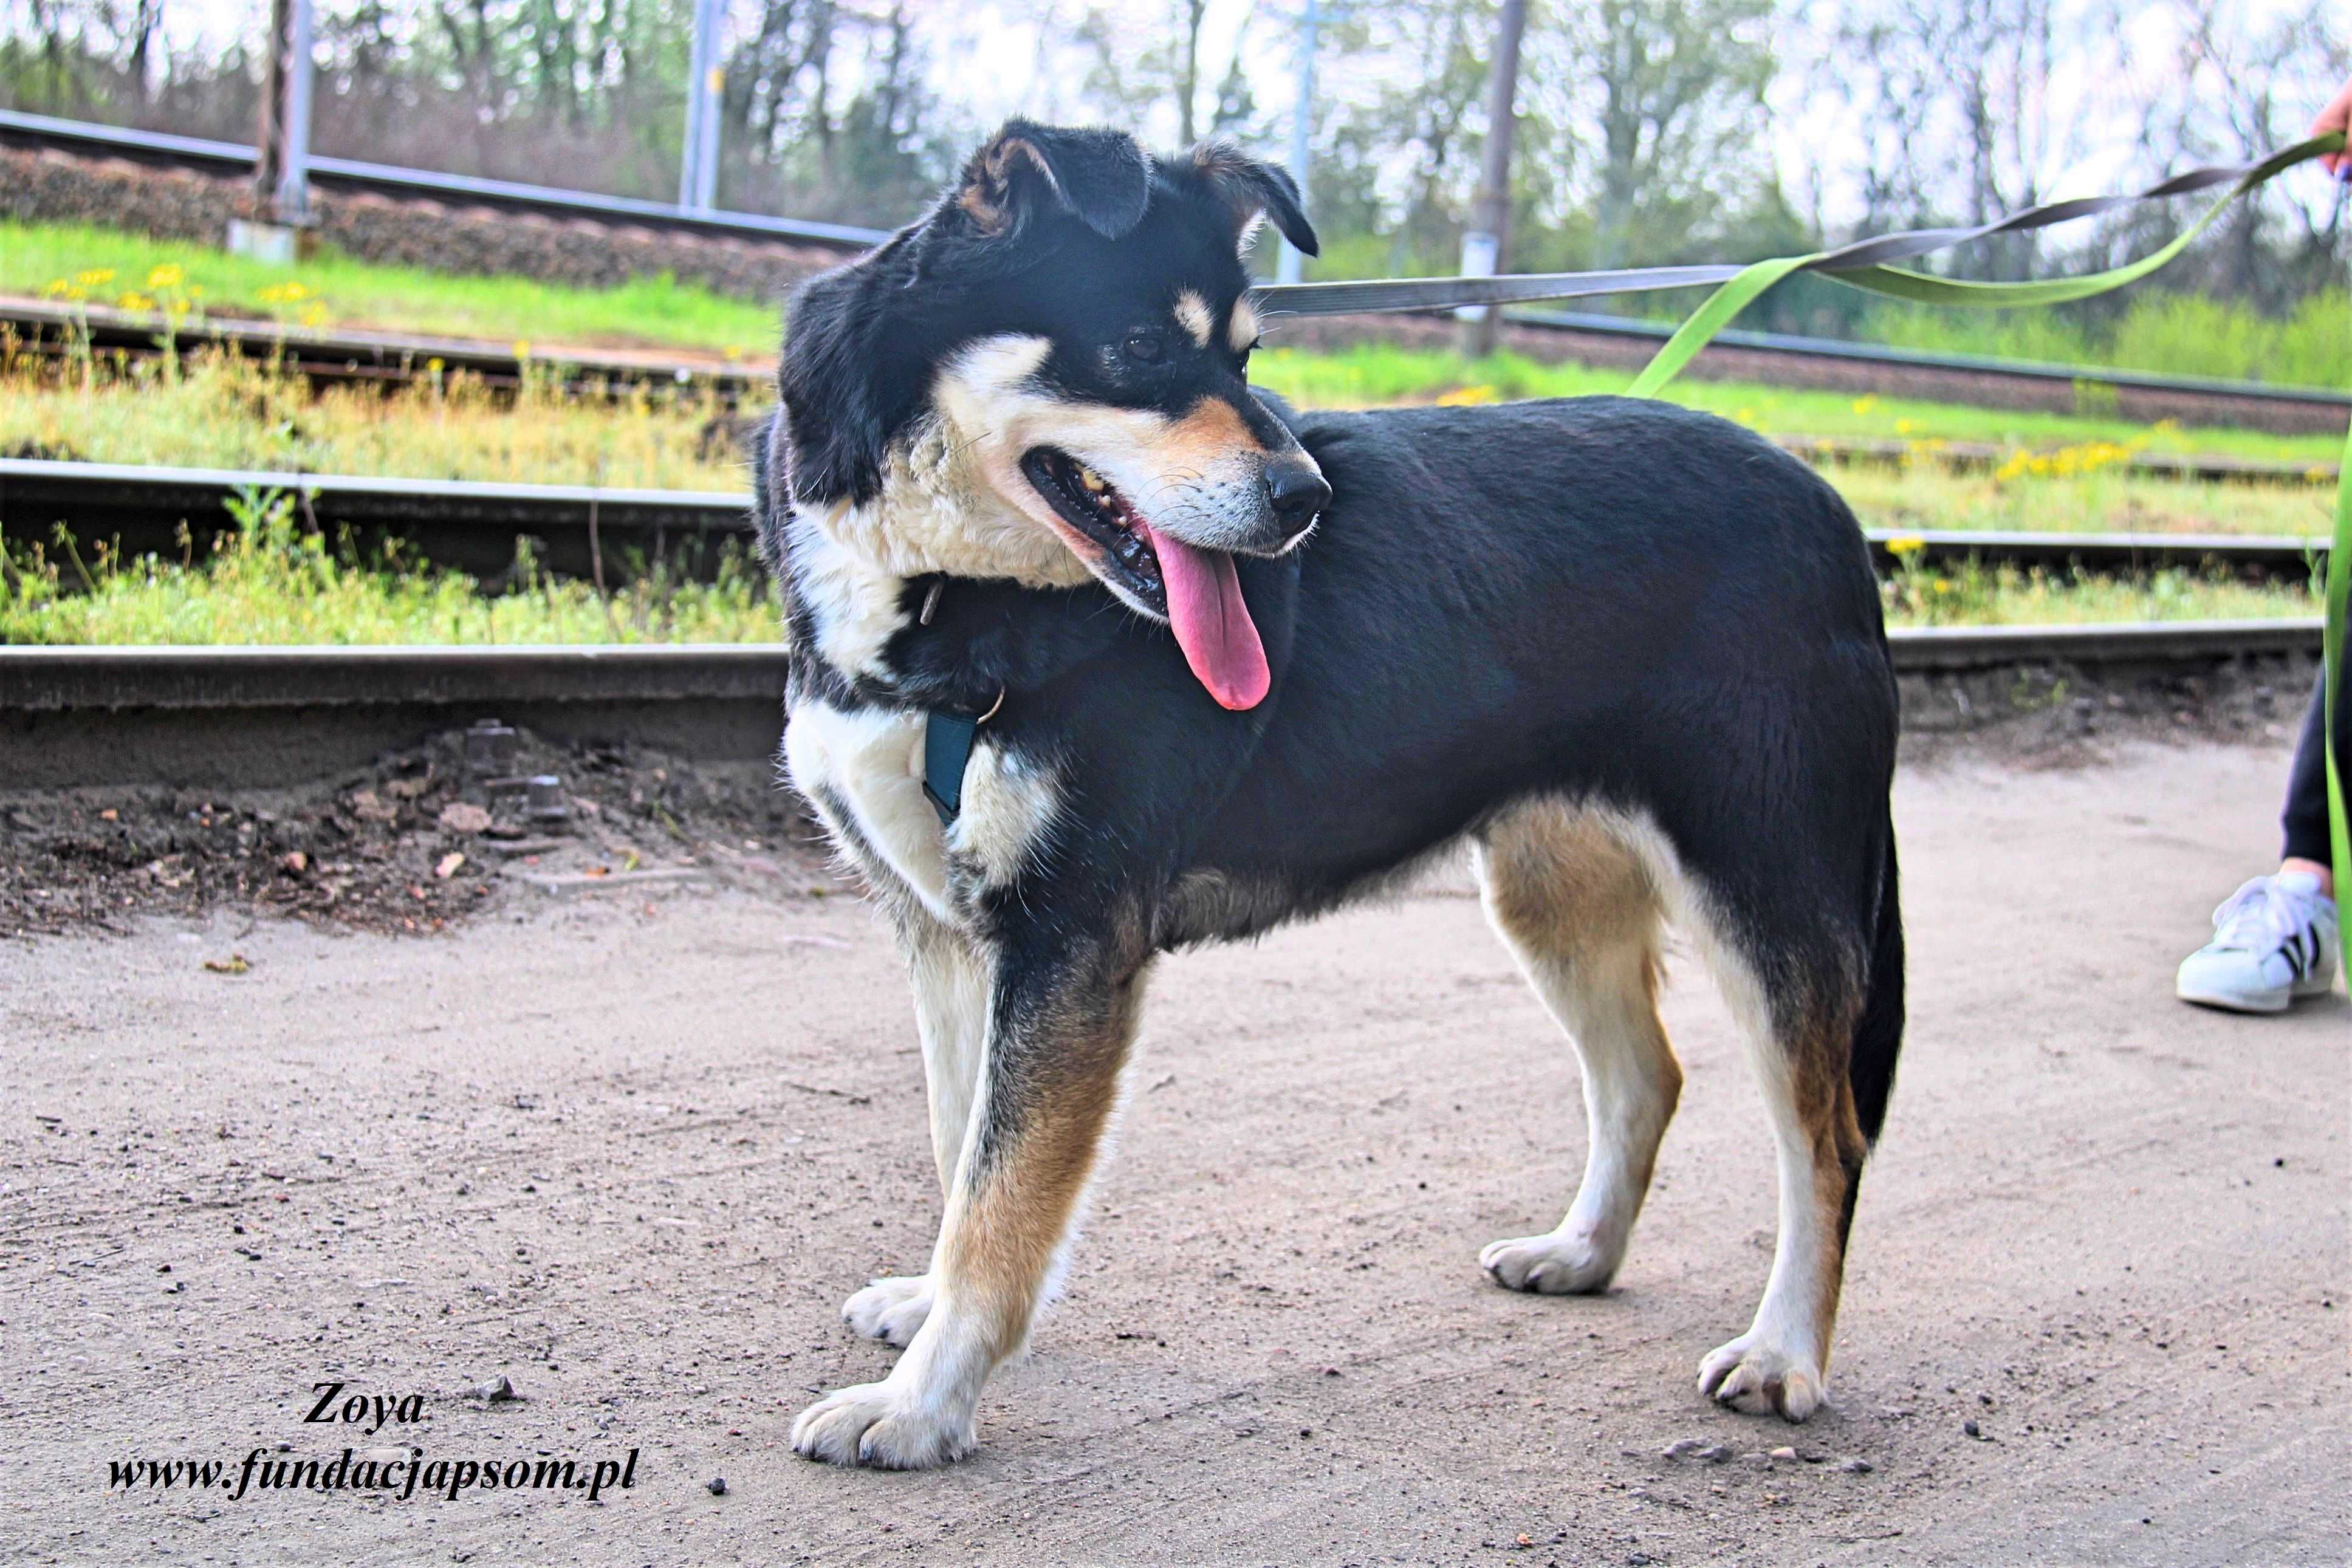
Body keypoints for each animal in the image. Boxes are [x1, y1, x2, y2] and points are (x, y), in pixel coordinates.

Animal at [762, 120, 1900, 1476]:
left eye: (1246, 353)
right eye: (1140, 348)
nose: (1305, 503)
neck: (953, 600)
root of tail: (1833, 513)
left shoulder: (1070, 938)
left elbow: (1001, 1198)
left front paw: (925, 1403)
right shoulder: (948, 934)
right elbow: (962, 1148)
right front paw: (927, 1313)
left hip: (1768, 889)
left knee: (1827, 1139)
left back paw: (1786, 1355)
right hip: (1556, 891)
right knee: (1646, 1078)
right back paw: (1582, 1252)